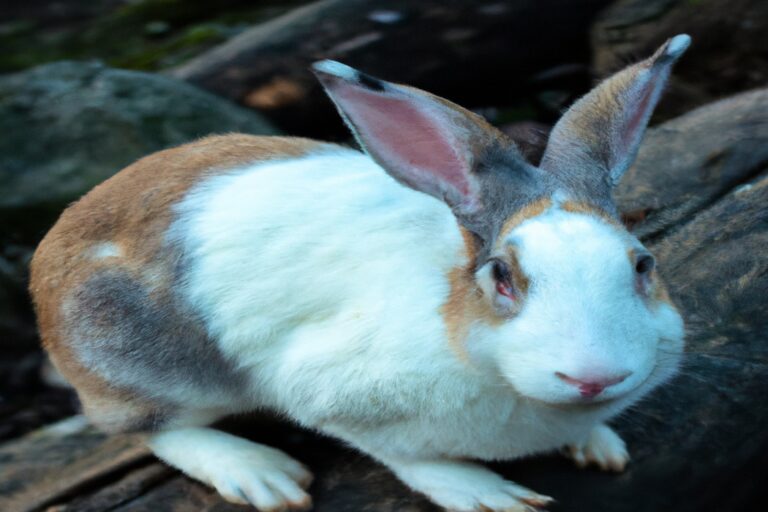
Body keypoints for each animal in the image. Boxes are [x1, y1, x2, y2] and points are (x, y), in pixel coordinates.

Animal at [29, 34, 691, 512]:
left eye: (642, 263)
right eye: (502, 275)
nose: (595, 377)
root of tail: (44, 265)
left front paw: (600, 445)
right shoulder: (332, 398)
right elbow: (412, 460)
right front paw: (488, 495)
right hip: (151, 363)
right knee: (149, 430)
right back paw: (262, 475)